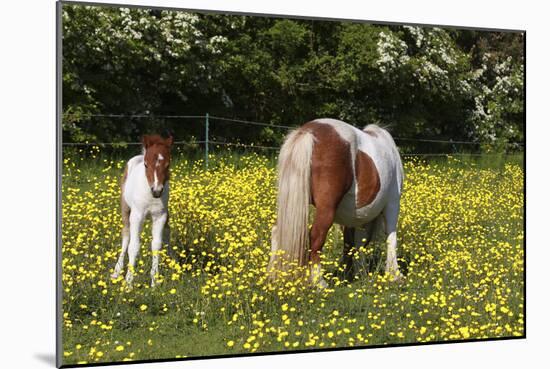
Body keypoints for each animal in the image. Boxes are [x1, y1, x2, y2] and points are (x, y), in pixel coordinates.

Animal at [111, 134, 174, 286]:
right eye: (146, 164)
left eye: (168, 164)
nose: (157, 191)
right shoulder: (137, 216)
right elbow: (133, 246)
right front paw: (128, 283)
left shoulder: (160, 216)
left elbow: (156, 245)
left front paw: (155, 281)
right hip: (126, 211)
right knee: (126, 236)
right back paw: (117, 271)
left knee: (167, 232)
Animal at [270, 119, 406, 286]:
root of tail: (308, 131)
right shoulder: (392, 204)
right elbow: (391, 238)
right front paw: (394, 274)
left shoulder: (358, 215)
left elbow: (354, 242)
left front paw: (356, 273)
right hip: (327, 209)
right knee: (316, 235)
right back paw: (319, 282)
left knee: (277, 231)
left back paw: (273, 275)